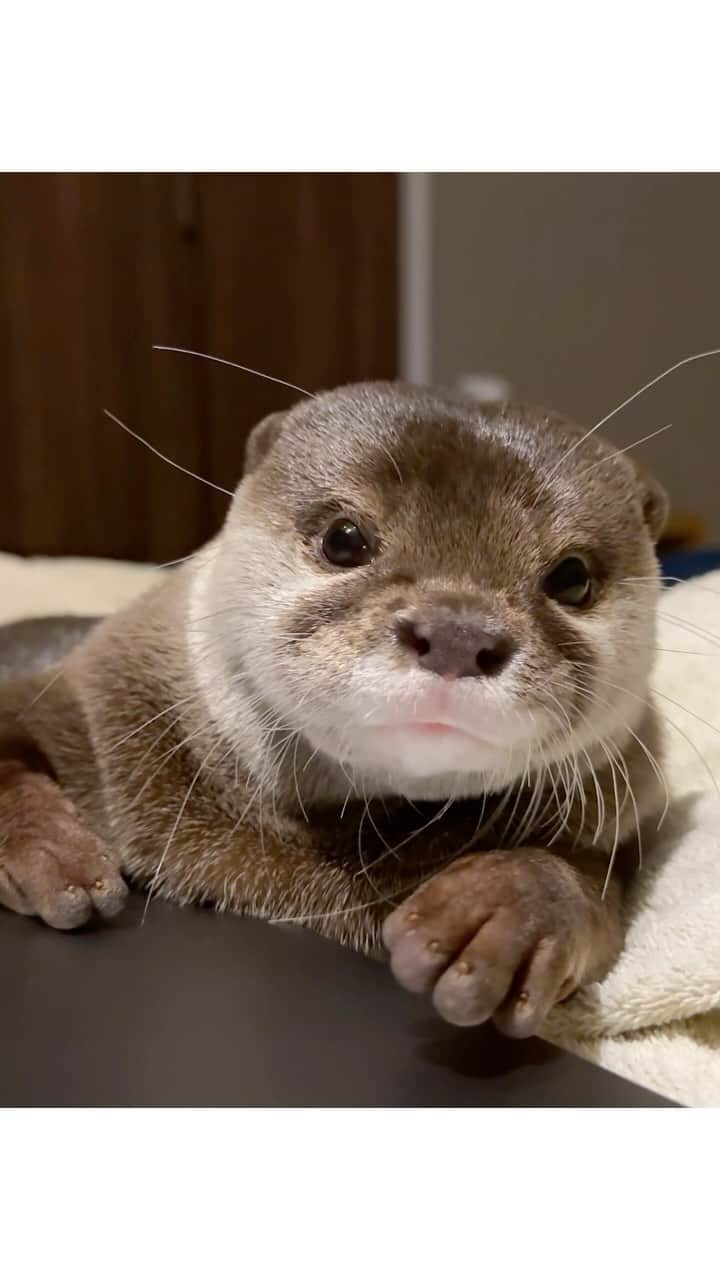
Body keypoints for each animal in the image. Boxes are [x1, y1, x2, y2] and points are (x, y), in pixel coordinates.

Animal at [0, 381, 666, 1039]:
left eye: (572, 578)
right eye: (344, 539)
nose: (458, 634)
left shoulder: (618, 830)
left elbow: (590, 887)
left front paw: (510, 910)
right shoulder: (81, 698)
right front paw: (58, 856)